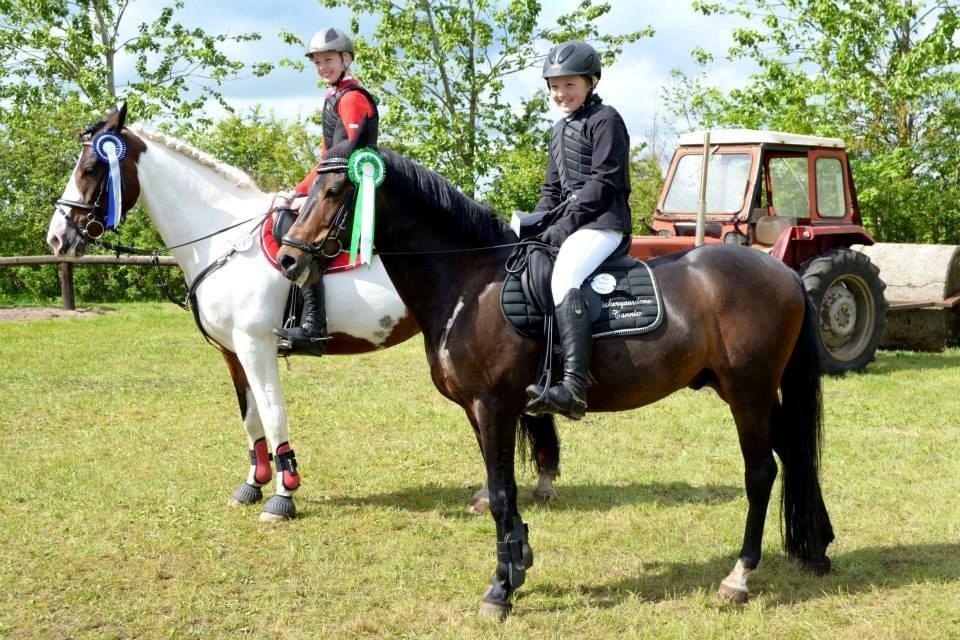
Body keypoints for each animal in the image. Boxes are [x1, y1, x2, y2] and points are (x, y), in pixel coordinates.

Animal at [45, 105, 560, 524]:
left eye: (90, 167)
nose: (56, 237)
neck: (223, 240)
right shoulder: (232, 353)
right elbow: (251, 418)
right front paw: (252, 483)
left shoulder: (256, 345)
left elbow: (273, 416)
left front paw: (283, 494)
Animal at [276, 131, 832, 620]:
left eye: (334, 191)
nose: (287, 258)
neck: (470, 285)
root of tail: (782, 272)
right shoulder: (478, 411)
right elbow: (501, 488)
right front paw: (517, 562)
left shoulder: (494, 405)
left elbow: (502, 492)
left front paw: (500, 590)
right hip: (748, 391)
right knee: (795, 452)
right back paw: (818, 547)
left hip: (747, 392)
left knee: (761, 472)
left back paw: (739, 577)